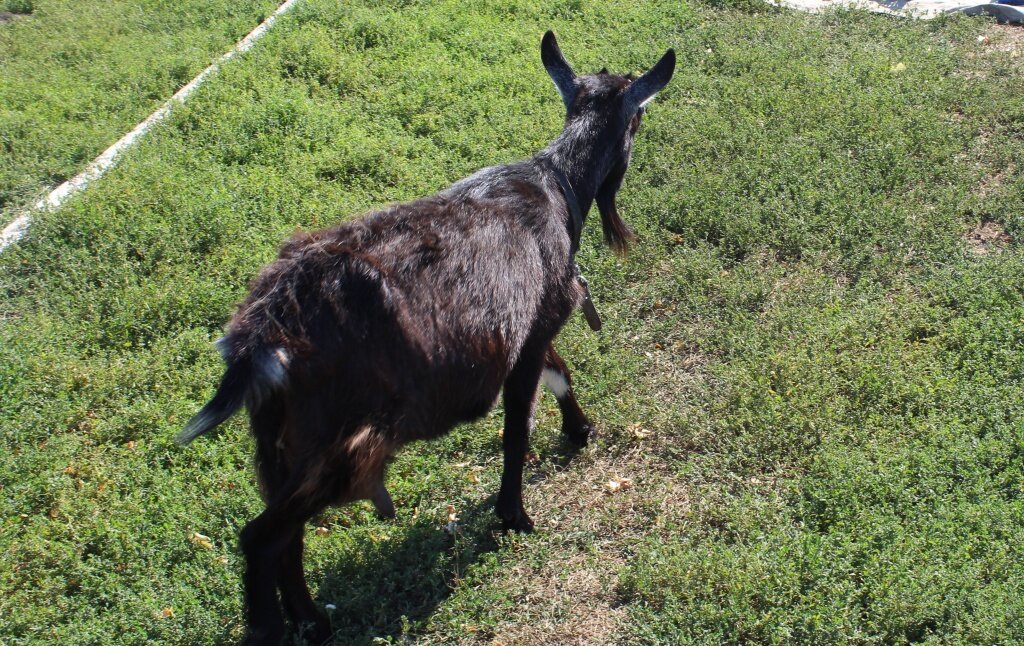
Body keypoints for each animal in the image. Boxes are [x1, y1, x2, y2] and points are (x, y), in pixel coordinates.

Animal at [178, 31, 671, 646]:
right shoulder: (533, 326)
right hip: (338, 438)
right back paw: (283, 625)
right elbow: (519, 424)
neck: (558, 187)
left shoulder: (529, 324)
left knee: (285, 532)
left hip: (277, 438)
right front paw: (515, 514)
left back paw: (313, 619)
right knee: (261, 537)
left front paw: (580, 431)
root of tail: (264, 330)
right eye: (638, 118)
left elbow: (560, 373)